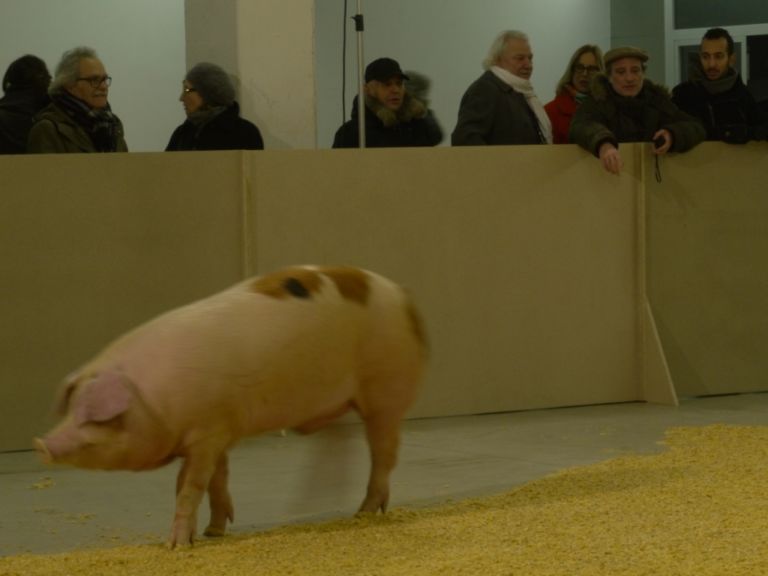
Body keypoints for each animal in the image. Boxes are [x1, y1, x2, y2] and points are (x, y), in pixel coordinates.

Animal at [34, 266, 426, 548]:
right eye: (71, 407)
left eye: (95, 416)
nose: (42, 443)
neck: (153, 399)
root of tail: (404, 297)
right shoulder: (219, 429)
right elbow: (217, 480)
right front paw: (214, 532)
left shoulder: (205, 433)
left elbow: (189, 486)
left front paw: (177, 546)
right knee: (340, 444)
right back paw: (313, 504)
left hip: (386, 391)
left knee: (383, 454)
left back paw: (364, 513)